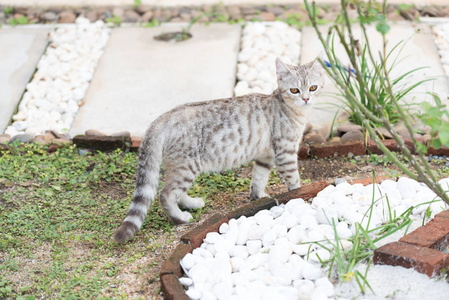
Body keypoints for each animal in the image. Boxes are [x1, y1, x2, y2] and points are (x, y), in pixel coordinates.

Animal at [112, 56, 322, 244]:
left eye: (313, 87)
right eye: (294, 90)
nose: (305, 98)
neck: (293, 112)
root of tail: (162, 118)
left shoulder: (265, 156)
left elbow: (258, 180)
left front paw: (258, 198)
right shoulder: (285, 153)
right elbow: (294, 181)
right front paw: (297, 198)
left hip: (184, 168)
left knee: (176, 192)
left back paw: (193, 204)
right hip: (187, 166)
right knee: (166, 194)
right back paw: (180, 218)